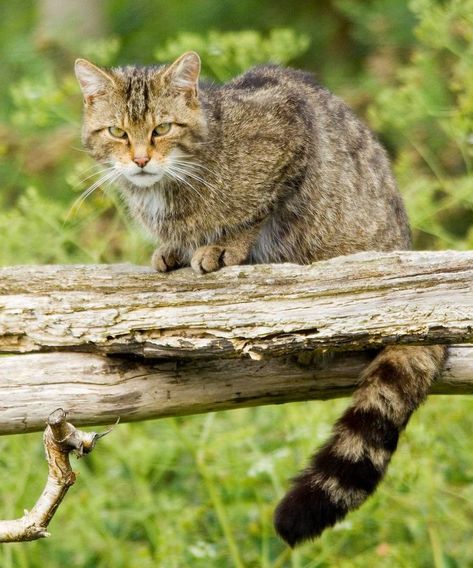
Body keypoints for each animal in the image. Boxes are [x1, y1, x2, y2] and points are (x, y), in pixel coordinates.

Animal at [74, 52, 446, 544]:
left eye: (162, 128)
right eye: (117, 132)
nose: (139, 159)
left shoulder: (291, 132)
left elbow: (256, 213)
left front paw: (223, 246)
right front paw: (173, 249)